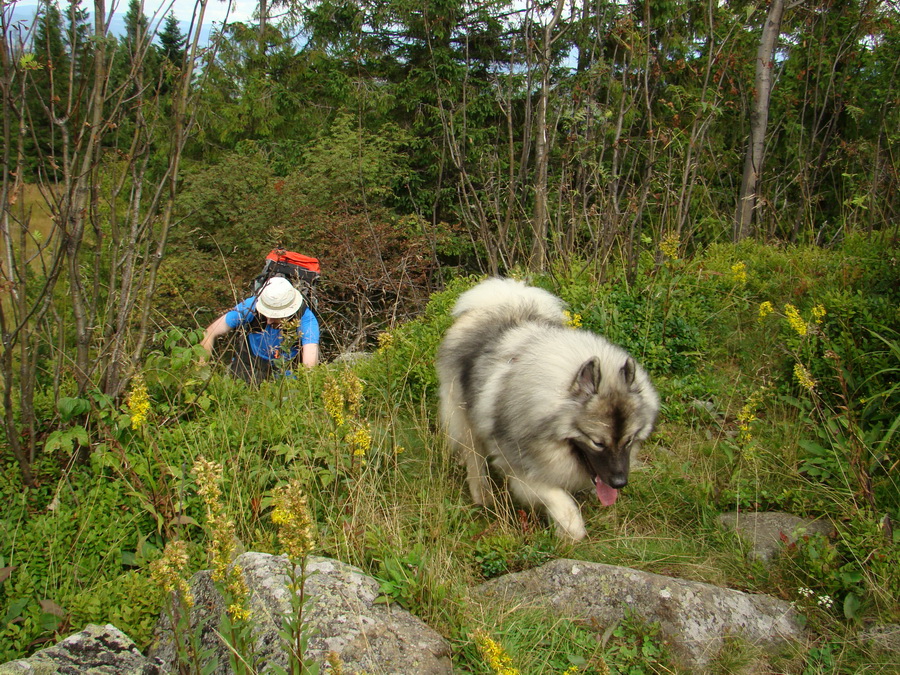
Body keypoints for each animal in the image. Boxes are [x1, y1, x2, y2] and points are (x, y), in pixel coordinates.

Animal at [438, 278, 660, 540]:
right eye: (597, 443)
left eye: (629, 440)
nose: (619, 482)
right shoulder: (519, 466)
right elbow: (559, 500)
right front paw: (572, 529)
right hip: (464, 418)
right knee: (474, 458)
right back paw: (483, 495)